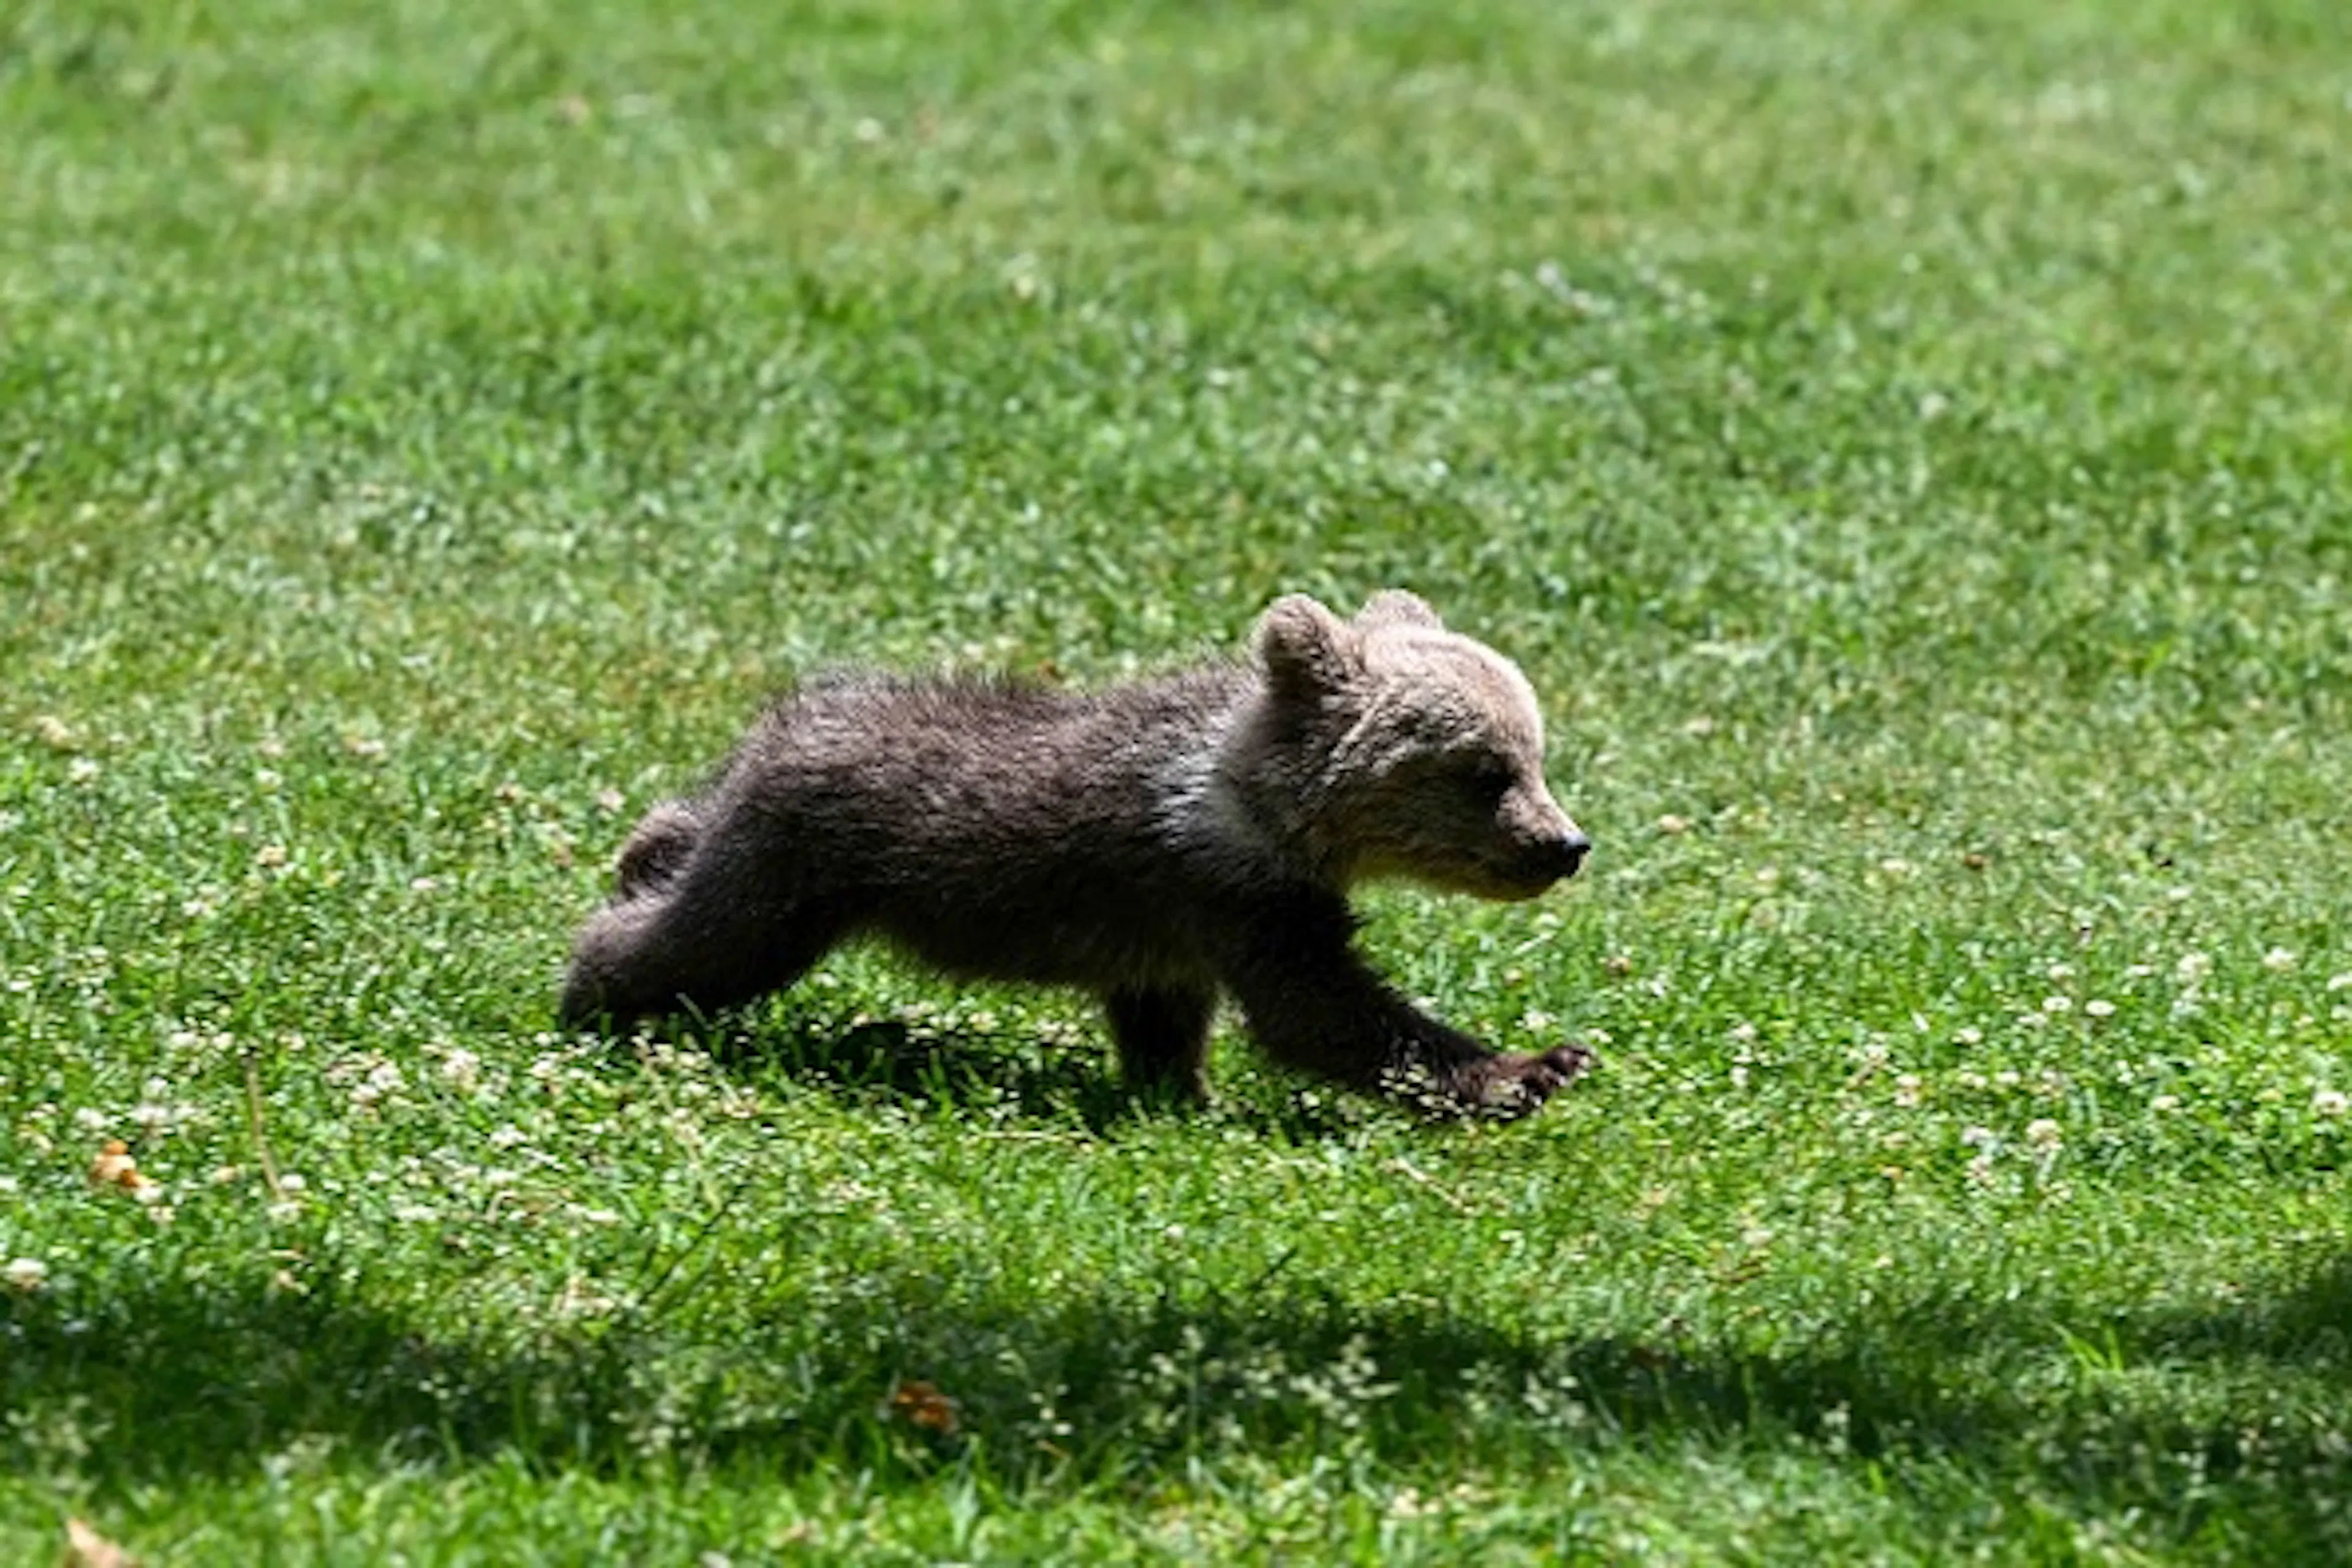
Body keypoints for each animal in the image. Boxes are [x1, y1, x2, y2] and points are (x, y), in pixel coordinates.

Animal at [559, 590, 1596, 1116]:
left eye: (1537, 754)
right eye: (1485, 770)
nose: (1566, 844)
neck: (1271, 811)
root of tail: (778, 725)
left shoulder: (1180, 928)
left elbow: (1167, 1018)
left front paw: (1179, 1095)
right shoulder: (1240, 894)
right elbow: (1324, 1012)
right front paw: (1530, 1069)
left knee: (678, 845)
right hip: (795, 872)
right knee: (703, 942)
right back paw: (594, 997)